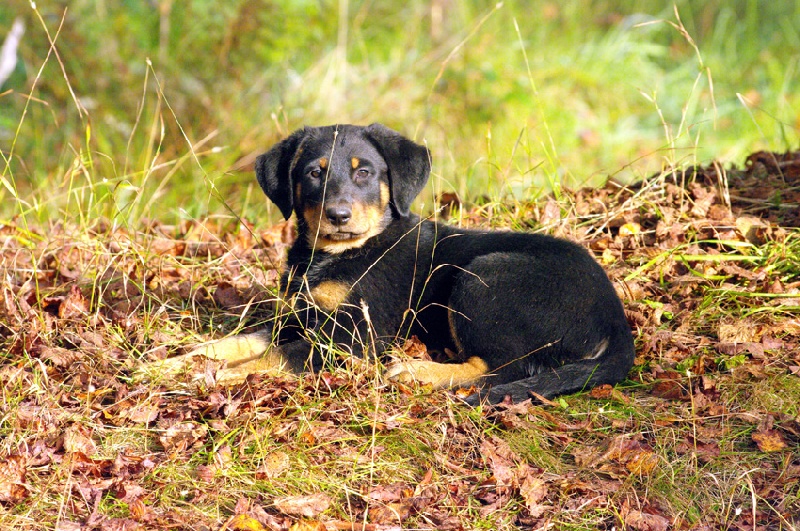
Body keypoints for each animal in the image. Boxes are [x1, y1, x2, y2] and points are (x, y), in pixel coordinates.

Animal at [148, 124, 636, 406]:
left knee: (503, 367)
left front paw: (216, 378)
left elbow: (271, 358)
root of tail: (617, 323)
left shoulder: (353, 338)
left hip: (485, 277)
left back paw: (418, 372)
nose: (338, 215)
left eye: (364, 172)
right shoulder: (300, 316)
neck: (335, 255)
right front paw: (175, 363)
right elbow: (236, 342)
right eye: (314, 173)